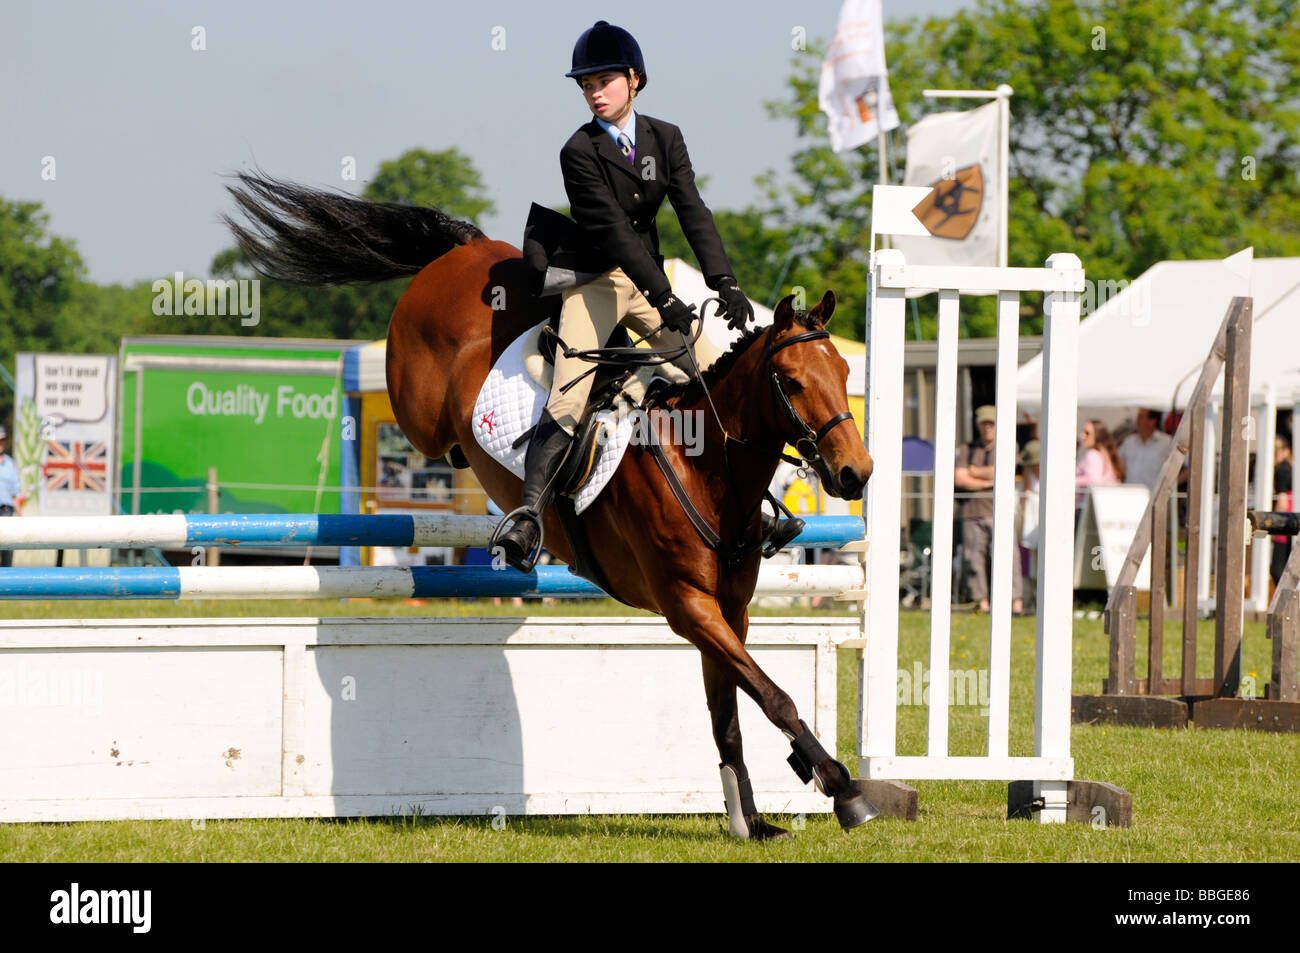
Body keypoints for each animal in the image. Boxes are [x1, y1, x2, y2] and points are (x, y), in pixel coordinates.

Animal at [226, 172, 873, 842]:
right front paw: (842, 785)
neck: (705, 468)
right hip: (417, 405)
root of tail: (469, 247)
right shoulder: (688, 607)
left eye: (844, 371)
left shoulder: (728, 611)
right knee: (434, 432)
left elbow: (732, 709)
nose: (857, 472)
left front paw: (750, 818)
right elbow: (773, 696)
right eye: (792, 382)